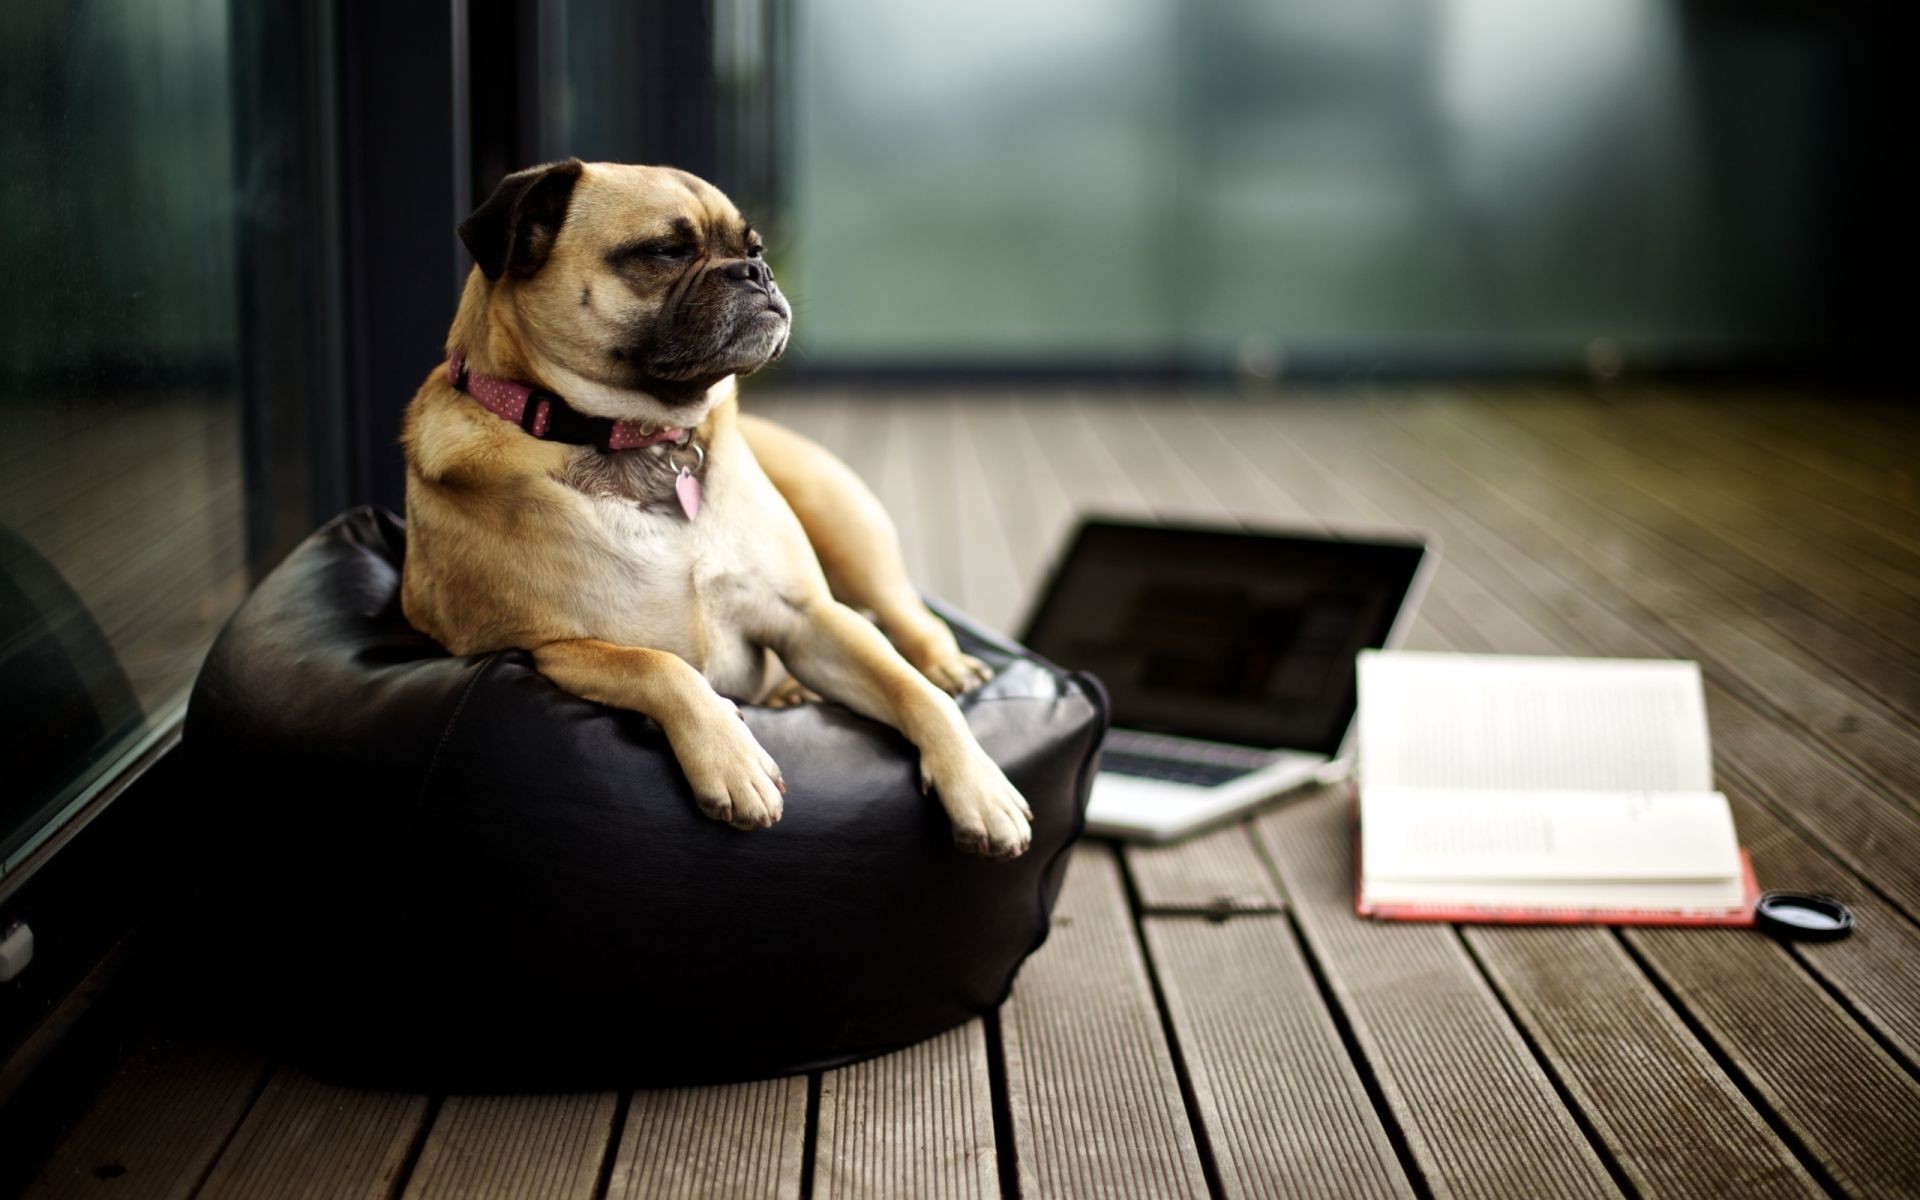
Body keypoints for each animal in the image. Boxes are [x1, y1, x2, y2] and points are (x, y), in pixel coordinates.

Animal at [397, 159, 1036, 856]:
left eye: (755, 248)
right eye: (665, 252)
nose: (757, 272)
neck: (639, 437)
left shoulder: (810, 617)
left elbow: (914, 692)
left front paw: (980, 787)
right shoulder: (554, 648)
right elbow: (663, 667)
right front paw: (734, 762)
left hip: (848, 530)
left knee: (909, 618)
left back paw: (948, 665)